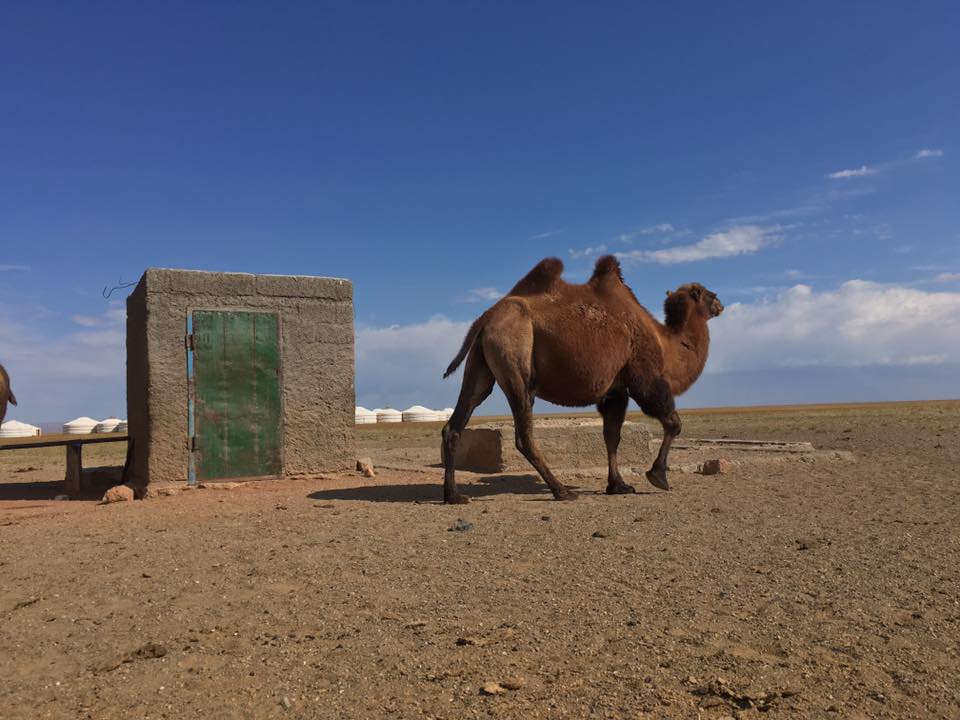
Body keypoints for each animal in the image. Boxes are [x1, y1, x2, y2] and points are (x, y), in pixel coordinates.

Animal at [440, 256, 720, 504]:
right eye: (707, 293)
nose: (720, 302)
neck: (667, 344)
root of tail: (485, 318)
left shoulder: (615, 391)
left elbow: (611, 436)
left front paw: (618, 485)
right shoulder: (645, 376)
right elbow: (673, 423)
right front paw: (658, 476)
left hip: (480, 362)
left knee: (459, 418)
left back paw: (453, 496)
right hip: (515, 354)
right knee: (524, 433)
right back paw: (561, 490)